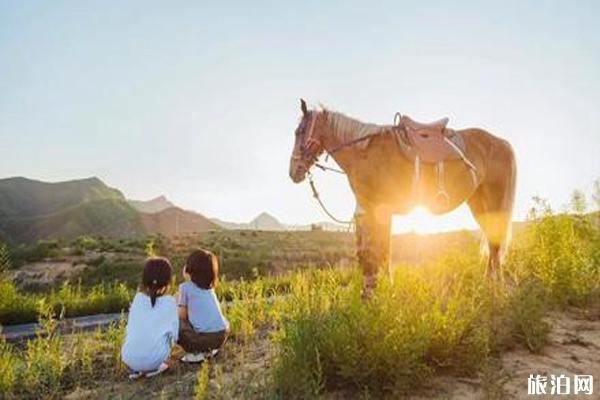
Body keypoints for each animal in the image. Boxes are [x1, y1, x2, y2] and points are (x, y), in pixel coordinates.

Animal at [290, 98, 516, 296]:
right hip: (478, 203)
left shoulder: (377, 208)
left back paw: (495, 288)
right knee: (492, 242)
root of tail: (502, 143)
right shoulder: (373, 210)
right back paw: (488, 284)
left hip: (494, 203)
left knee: (495, 243)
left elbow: (375, 251)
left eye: (299, 131)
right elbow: (378, 251)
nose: (294, 172)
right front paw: (380, 289)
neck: (364, 152)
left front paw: (373, 293)